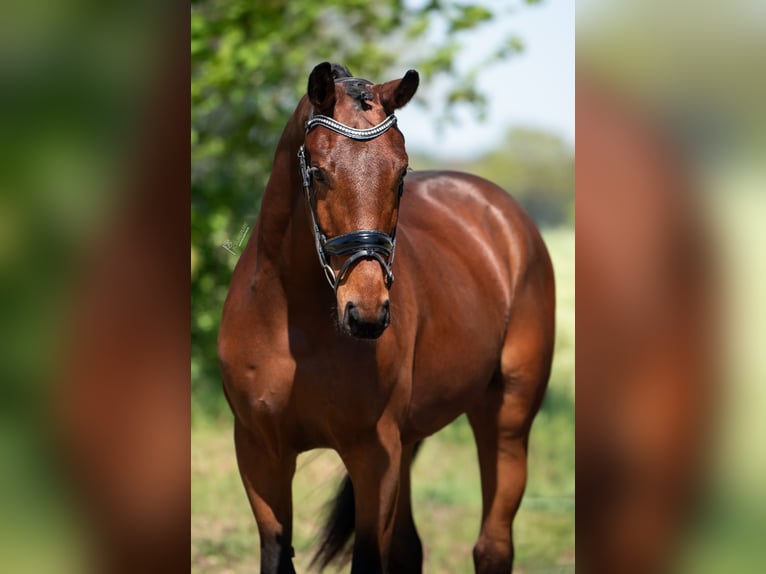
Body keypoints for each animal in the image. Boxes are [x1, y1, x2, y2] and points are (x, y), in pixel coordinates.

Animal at [218, 62, 555, 574]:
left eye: (400, 175)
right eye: (317, 173)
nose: (366, 312)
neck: (294, 327)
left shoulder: (374, 456)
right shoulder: (260, 454)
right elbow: (278, 555)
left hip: (506, 420)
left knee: (493, 547)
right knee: (410, 548)